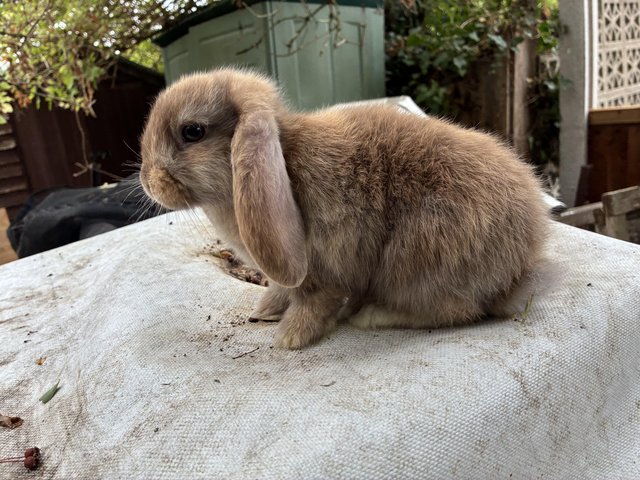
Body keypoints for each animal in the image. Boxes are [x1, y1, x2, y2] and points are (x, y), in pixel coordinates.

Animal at [139, 68, 549, 350]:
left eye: (192, 131)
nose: (147, 180)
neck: (285, 159)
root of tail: (522, 261)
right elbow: (282, 291)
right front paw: (265, 311)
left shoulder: (325, 270)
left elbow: (315, 303)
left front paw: (290, 338)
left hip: (415, 260)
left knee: (456, 310)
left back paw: (369, 315)